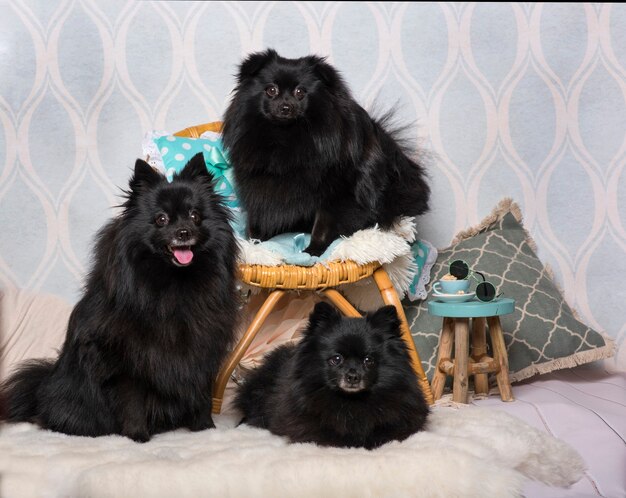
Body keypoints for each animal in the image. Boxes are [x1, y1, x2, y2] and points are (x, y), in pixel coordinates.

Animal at [0, 154, 239, 442]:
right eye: (161, 219)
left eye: (195, 216)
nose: (183, 232)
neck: (174, 284)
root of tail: (45, 384)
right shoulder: (127, 361)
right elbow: (133, 402)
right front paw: (137, 436)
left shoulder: (202, 350)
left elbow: (201, 394)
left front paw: (205, 429)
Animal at [221, 48, 428, 255]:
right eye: (271, 90)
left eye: (300, 92)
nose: (285, 107)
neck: (286, 137)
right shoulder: (260, 187)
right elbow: (257, 218)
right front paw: (254, 244)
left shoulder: (336, 194)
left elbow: (322, 226)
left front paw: (312, 252)